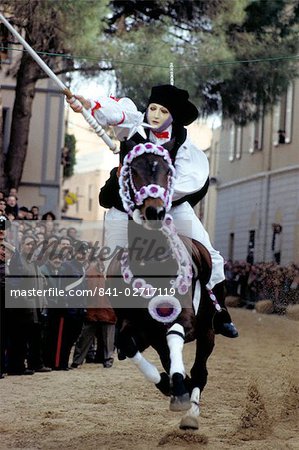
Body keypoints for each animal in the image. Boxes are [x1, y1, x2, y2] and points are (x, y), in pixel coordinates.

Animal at [106, 143, 219, 428]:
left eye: (169, 170)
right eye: (133, 171)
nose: (154, 211)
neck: (151, 261)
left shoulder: (187, 318)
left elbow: (176, 333)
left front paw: (179, 388)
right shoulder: (139, 329)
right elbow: (126, 345)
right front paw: (168, 384)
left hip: (208, 330)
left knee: (200, 371)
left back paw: (191, 413)